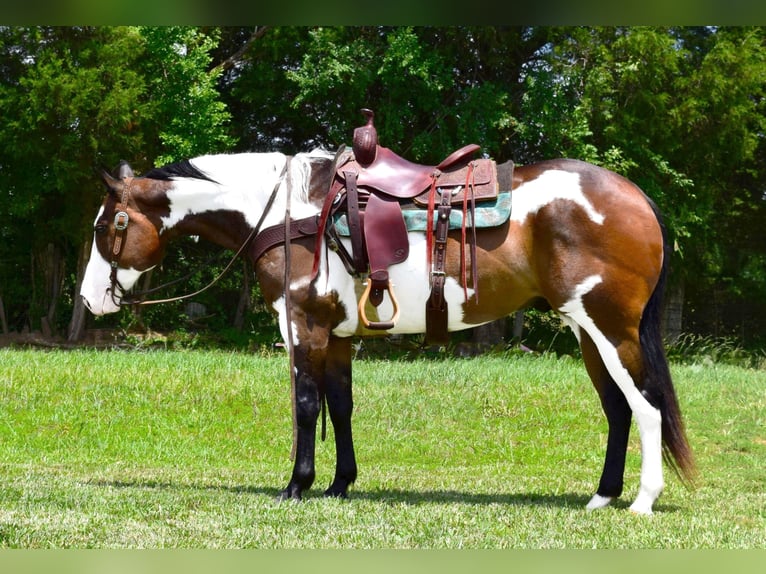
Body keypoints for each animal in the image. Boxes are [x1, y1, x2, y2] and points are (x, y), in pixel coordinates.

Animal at [81, 145, 700, 516]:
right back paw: (602, 496)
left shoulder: (303, 328)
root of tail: (637, 197)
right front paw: (339, 484)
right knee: (618, 410)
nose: (90, 299)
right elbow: (340, 406)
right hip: (587, 332)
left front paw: (297, 485)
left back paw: (642, 500)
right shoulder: (337, 338)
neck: (288, 213)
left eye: (109, 225)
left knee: (646, 406)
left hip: (611, 330)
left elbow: (307, 405)